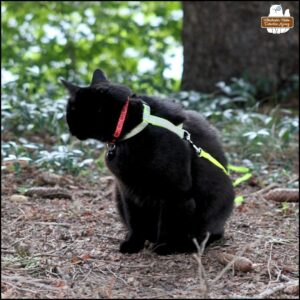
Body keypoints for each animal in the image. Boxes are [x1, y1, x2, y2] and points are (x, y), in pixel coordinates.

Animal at [61, 69, 234, 255]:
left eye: (72, 111)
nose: (69, 128)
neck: (132, 128)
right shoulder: (127, 190)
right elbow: (135, 221)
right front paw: (133, 244)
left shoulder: (174, 191)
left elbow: (168, 223)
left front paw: (164, 246)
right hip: (117, 194)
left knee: (209, 233)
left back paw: (184, 244)